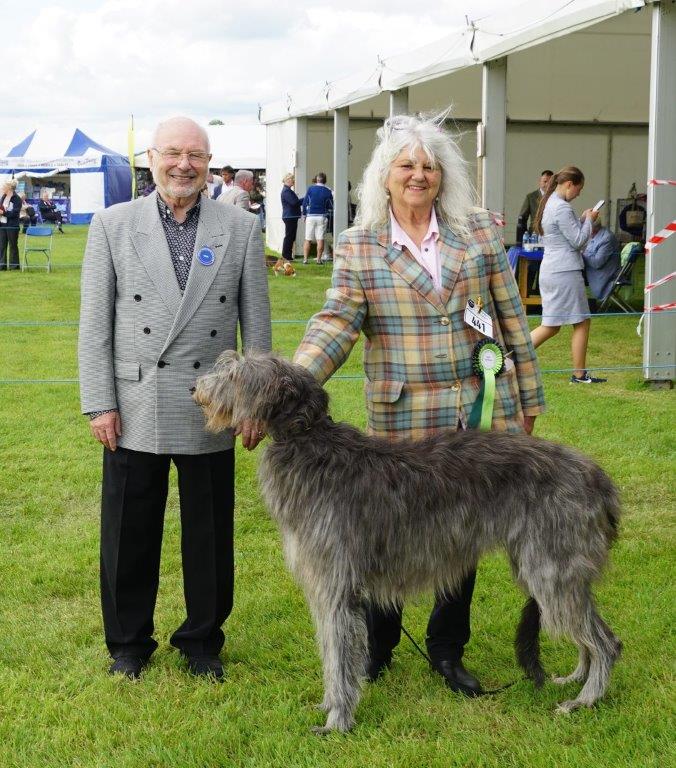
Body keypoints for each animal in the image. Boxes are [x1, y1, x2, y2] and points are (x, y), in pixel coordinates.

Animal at [194, 352, 624, 736]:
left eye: (234, 375)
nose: (194, 389)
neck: (310, 443)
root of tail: (599, 479)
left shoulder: (335, 585)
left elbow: (339, 655)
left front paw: (337, 722)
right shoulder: (325, 587)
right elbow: (333, 653)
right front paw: (329, 704)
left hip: (551, 568)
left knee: (606, 642)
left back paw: (585, 700)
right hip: (552, 567)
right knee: (592, 633)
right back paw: (576, 679)